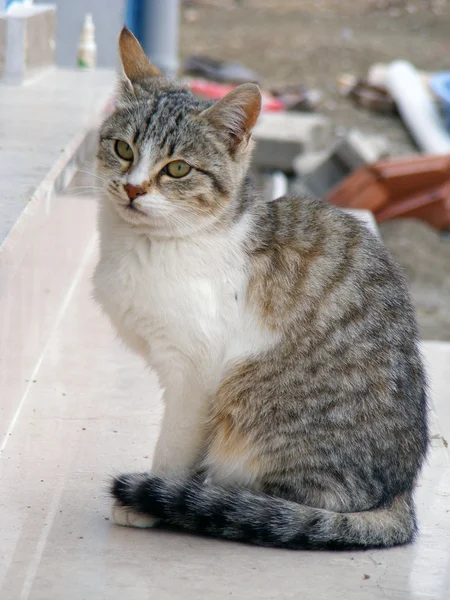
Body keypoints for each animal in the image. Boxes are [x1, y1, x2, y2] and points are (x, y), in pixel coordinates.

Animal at [93, 28, 428, 552]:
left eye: (177, 169)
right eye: (123, 149)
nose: (131, 189)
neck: (155, 244)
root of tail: (401, 495)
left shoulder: (196, 372)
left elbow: (175, 446)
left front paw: (150, 499)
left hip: (259, 412)